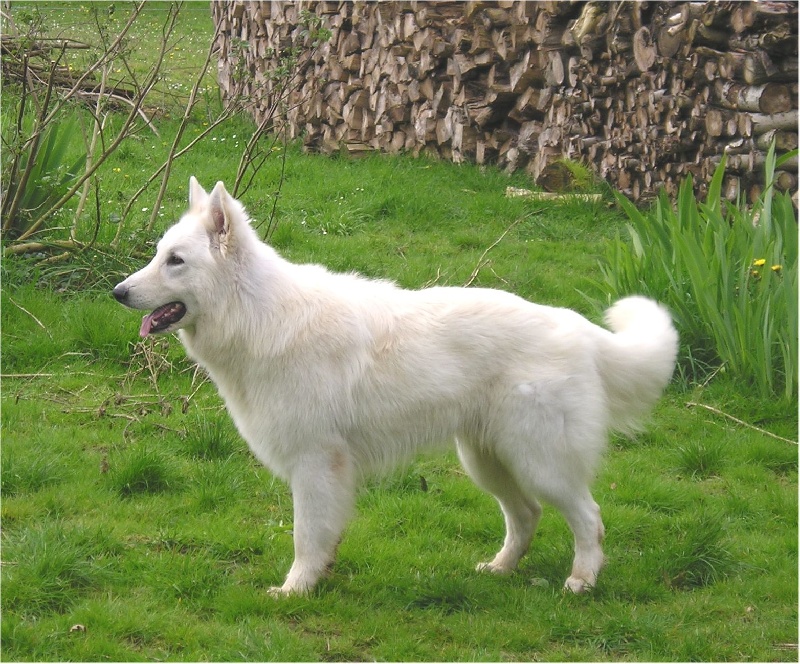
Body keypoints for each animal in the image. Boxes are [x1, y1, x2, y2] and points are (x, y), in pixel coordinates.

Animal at [114, 178, 676, 596]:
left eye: (175, 261)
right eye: (158, 254)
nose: (118, 292)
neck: (257, 315)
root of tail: (579, 328)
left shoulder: (315, 464)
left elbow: (305, 537)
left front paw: (295, 591)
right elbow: (323, 539)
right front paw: (316, 582)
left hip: (540, 462)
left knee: (589, 518)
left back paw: (581, 580)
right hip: (488, 461)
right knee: (526, 515)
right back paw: (499, 570)